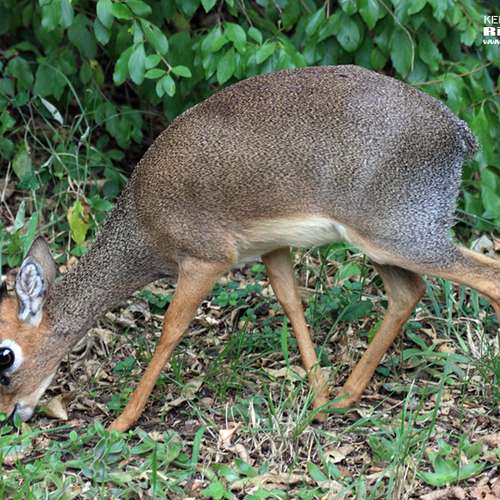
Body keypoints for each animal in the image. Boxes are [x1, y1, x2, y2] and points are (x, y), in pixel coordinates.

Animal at [0, 65, 498, 432]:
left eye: (5, 355)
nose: (10, 415)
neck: (143, 223)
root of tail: (460, 134)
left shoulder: (205, 260)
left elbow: (170, 330)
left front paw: (121, 422)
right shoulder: (272, 249)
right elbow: (291, 302)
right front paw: (318, 394)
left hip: (403, 237)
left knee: (485, 275)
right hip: (383, 244)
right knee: (408, 293)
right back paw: (343, 398)